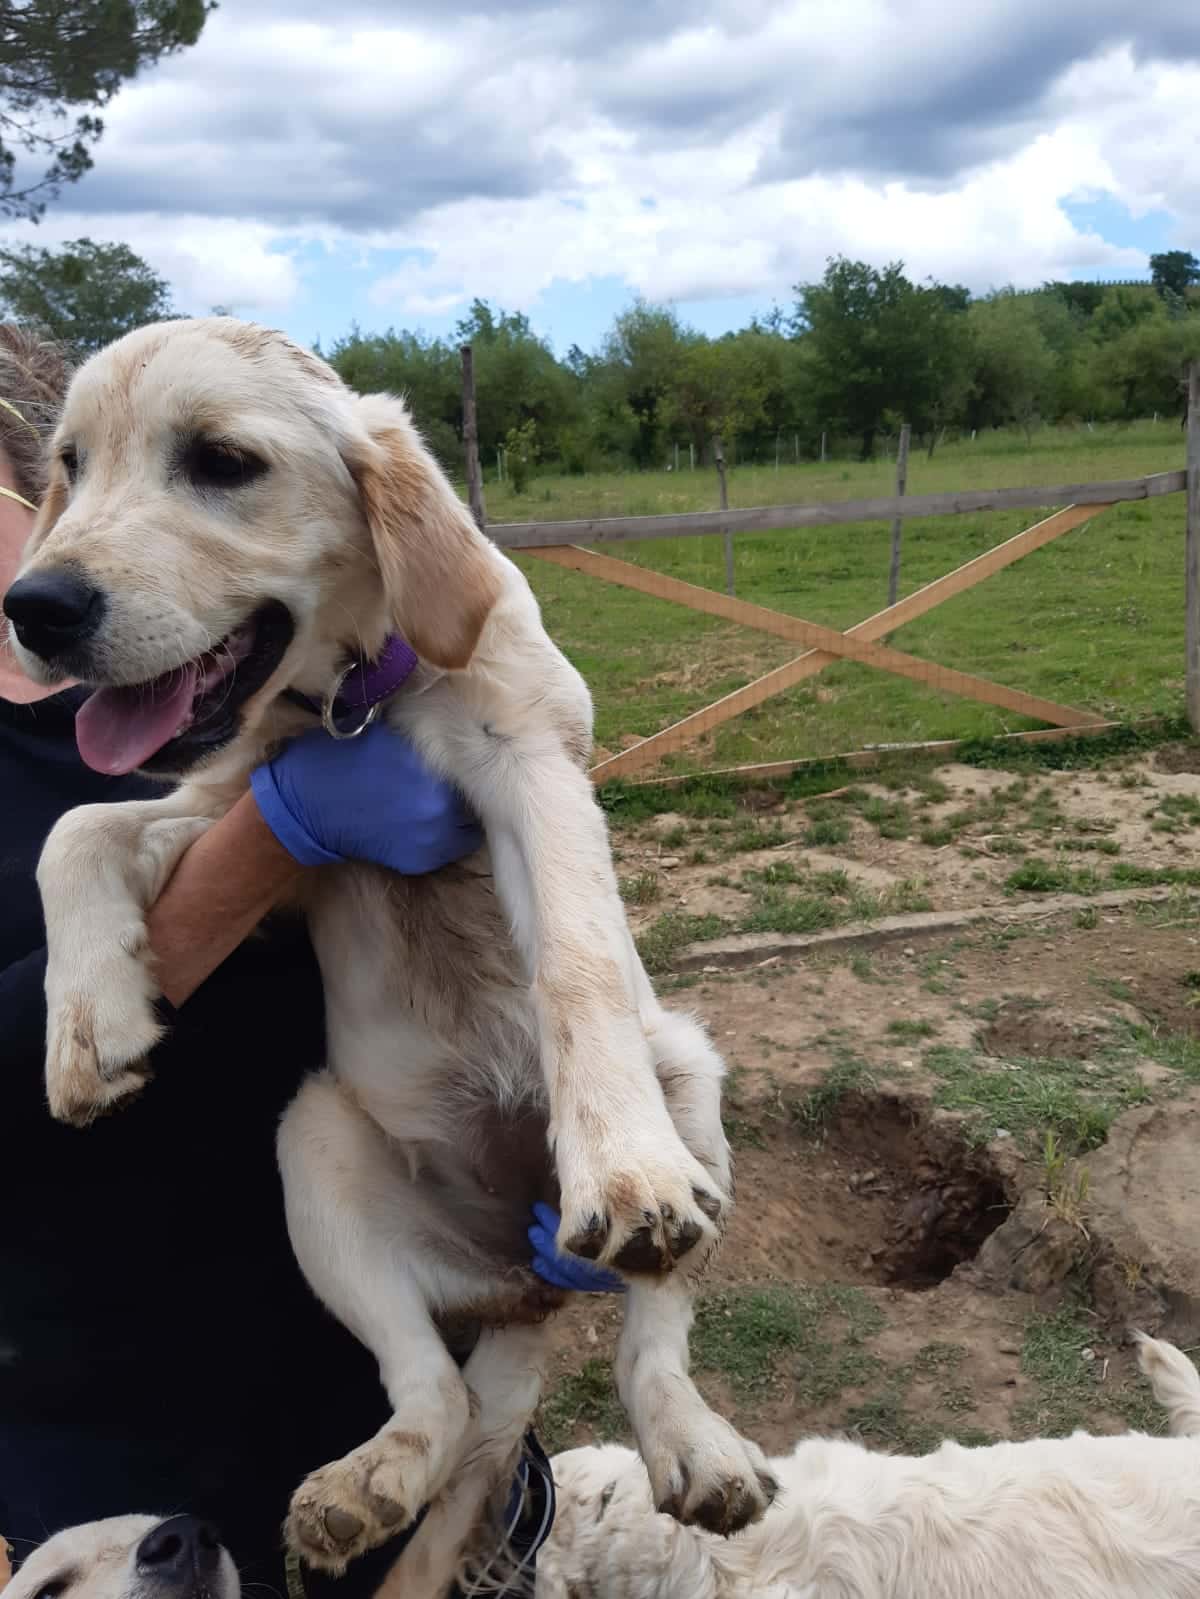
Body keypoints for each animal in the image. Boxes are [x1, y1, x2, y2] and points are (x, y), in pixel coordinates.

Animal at [4, 318, 774, 1592]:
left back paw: (695, 1442)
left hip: (692, 1086)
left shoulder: (531, 768)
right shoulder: (248, 808)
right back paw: (365, 1485)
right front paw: (89, 1027)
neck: (355, 702)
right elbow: (76, 828)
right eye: (68, 464)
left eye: (222, 461)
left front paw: (622, 1168)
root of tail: (526, 1278)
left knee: (652, 1333)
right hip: (314, 1146)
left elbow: (576, 959)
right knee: (431, 1396)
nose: (34, 607)